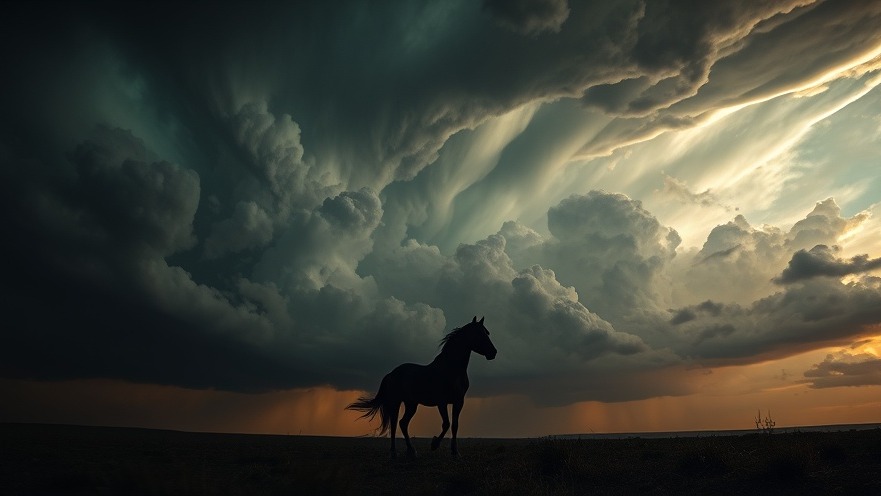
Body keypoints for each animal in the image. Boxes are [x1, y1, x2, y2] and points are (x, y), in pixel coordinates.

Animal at [346, 316, 497, 458]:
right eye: (479, 334)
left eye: (487, 333)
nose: (493, 352)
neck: (451, 370)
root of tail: (391, 373)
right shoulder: (442, 402)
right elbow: (446, 424)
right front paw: (434, 444)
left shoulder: (459, 402)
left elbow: (454, 425)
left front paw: (455, 452)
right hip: (396, 402)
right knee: (394, 424)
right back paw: (394, 453)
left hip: (411, 404)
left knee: (403, 423)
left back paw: (411, 451)